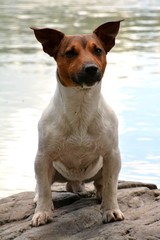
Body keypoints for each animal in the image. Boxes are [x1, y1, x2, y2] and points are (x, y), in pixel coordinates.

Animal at [31, 20, 124, 227]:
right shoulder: (42, 157)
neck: (81, 108)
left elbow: (111, 187)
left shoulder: (112, 155)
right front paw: (42, 212)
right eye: (70, 53)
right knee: (44, 186)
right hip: (49, 169)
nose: (91, 68)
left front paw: (111, 210)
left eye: (98, 50)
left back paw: (97, 193)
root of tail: (75, 181)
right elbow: (44, 189)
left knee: (100, 183)